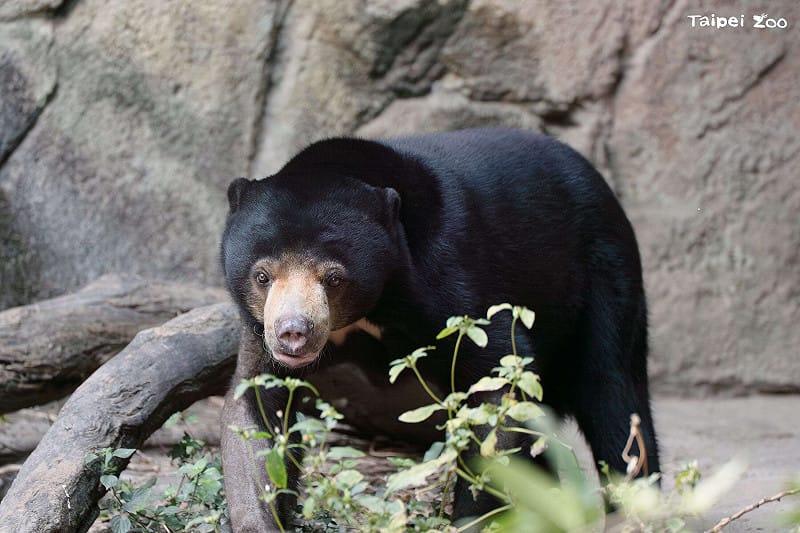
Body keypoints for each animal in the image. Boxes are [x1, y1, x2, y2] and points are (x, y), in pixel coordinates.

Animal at [220, 127, 659, 532]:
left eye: (333, 279)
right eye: (262, 275)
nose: (293, 333)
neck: (376, 302)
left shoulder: (447, 281)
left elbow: (495, 383)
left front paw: (470, 519)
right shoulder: (258, 330)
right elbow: (256, 408)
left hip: (604, 274)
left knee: (613, 394)